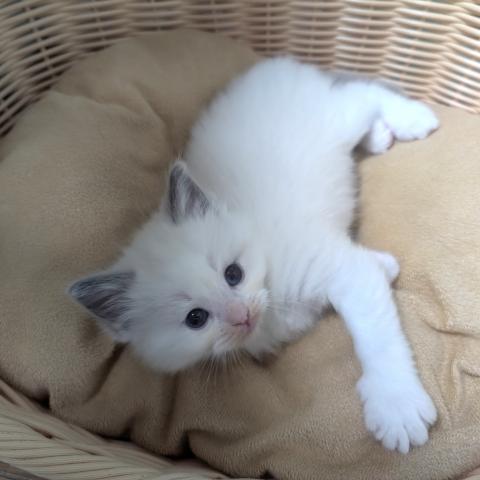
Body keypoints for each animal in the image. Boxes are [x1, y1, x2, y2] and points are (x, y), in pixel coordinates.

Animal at [69, 57, 438, 454]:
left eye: (234, 274)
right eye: (196, 318)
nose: (241, 315)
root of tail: (269, 65)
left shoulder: (335, 267)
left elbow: (376, 336)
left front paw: (396, 406)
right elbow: (370, 271)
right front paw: (387, 265)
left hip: (335, 119)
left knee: (364, 93)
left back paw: (414, 119)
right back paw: (381, 136)